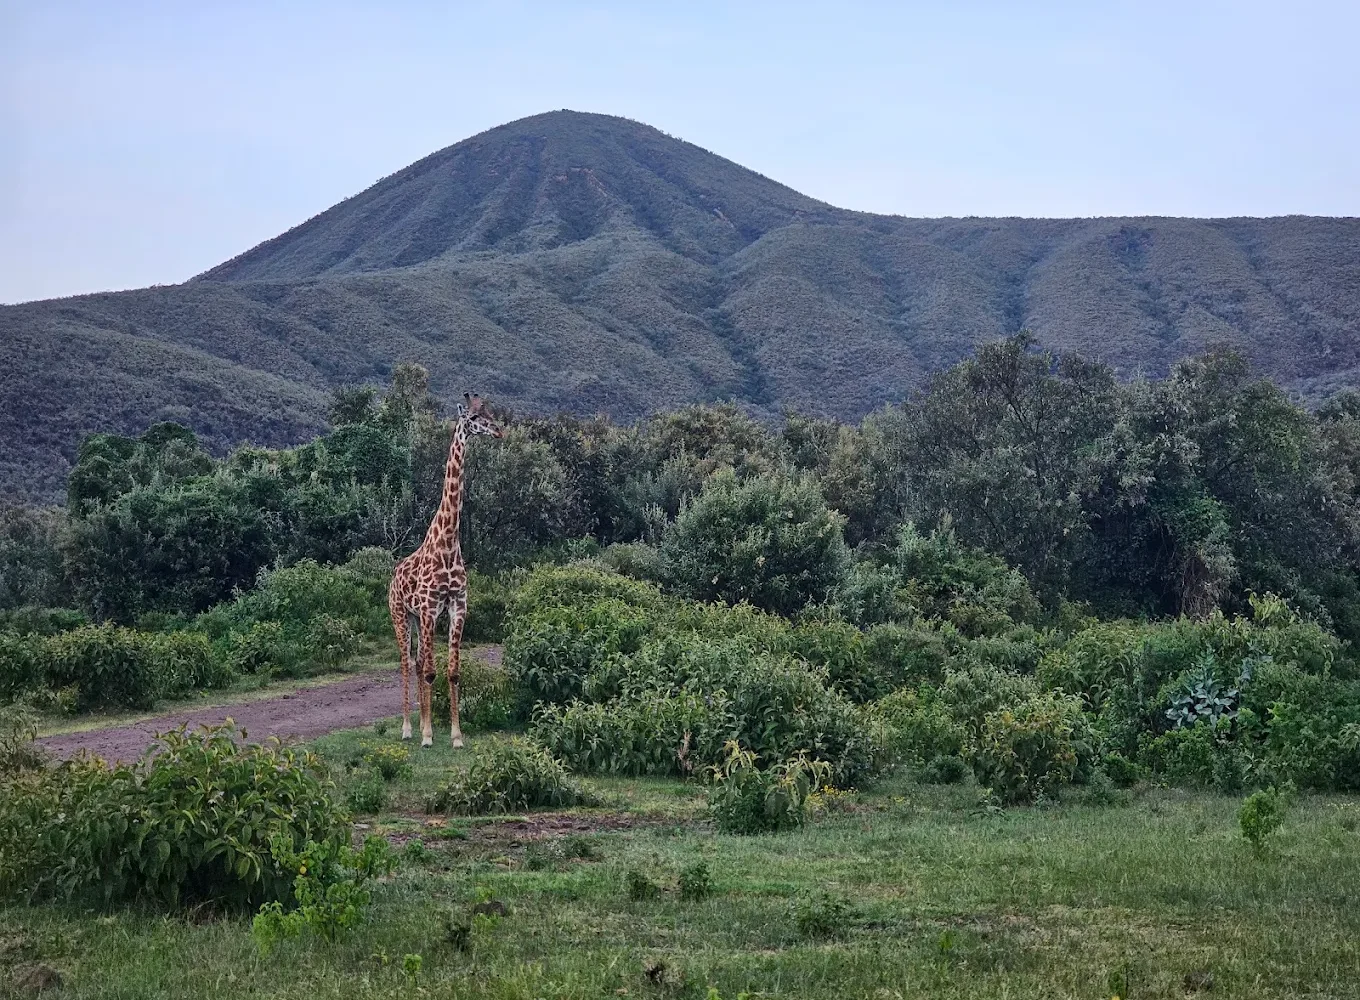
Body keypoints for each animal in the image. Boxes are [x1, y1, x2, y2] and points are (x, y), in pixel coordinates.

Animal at [388, 393, 503, 747]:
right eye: (475, 418)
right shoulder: (428, 607)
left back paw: (420, 724)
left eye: (490, 412)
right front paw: (427, 735)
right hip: (401, 614)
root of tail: (392, 576)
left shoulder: (456, 605)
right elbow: (429, 671)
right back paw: (408, 729)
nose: (498, 431)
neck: (449, 541)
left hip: (419, 618)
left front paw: (455, 735)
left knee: (418, 662)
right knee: (407, 663)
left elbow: (451, 672)